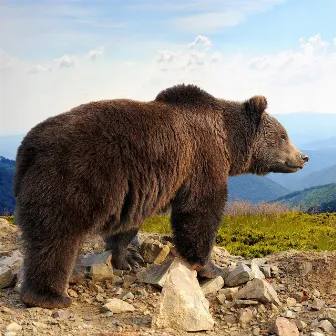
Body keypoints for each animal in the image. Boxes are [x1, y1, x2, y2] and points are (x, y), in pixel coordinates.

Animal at [12, 83, 308, 308]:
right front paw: (212, 267)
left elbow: (128, 223)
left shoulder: (139, 188)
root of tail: (29, 146)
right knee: (57, 235)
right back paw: (49, 295)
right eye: (283, 135)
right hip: (74, 177)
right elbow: (201, 210)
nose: (303, 157)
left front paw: (128, 258)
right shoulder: (201, 159)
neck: (228, 141)